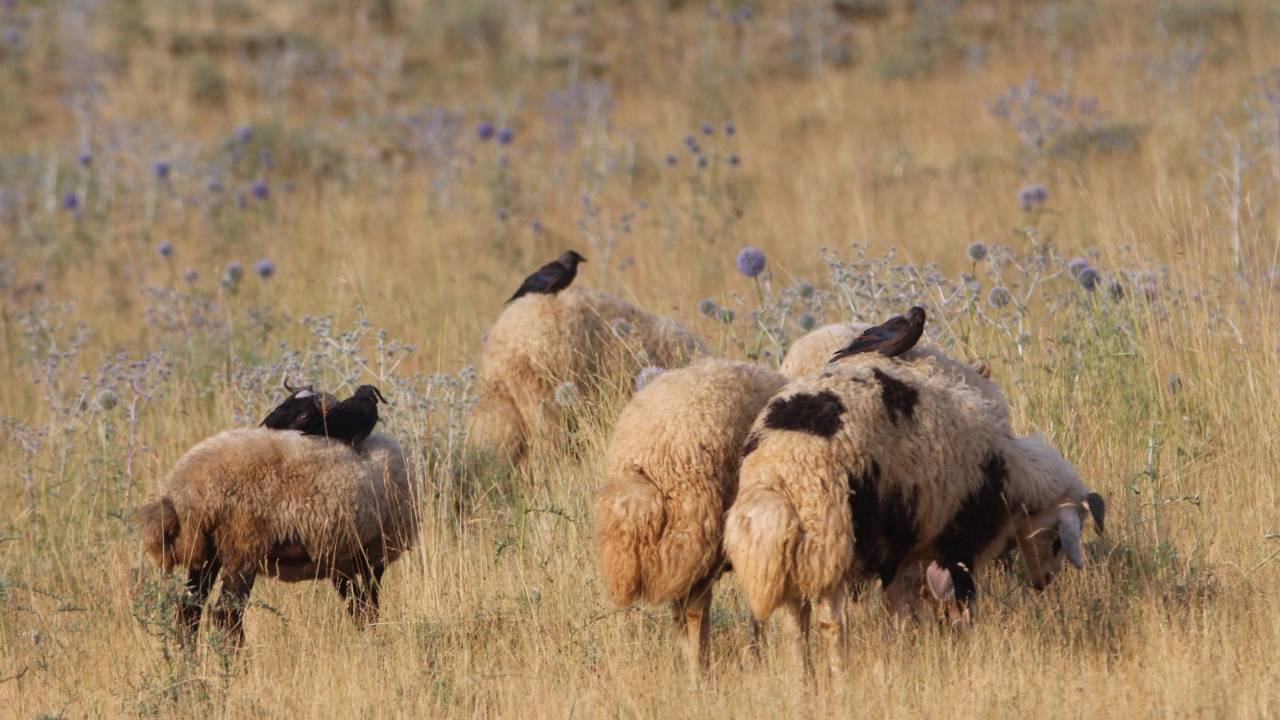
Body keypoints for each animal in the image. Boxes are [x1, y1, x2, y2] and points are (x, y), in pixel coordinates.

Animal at [138, 425, 414, 645]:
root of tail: (181, 490)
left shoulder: (342, 562)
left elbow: (358, 609)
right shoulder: (371, 558)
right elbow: (368, 610)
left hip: (208, 554)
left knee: (189, 611)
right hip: (243, 547)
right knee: (226, 614)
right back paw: (239, 669)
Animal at [727, 361, 1105, 676]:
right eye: (1056, 542)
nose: (1043, 583)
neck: (1011, 475)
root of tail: (779, 469)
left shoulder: (903, 551)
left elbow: (899, 608)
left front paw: (898, 655)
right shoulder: (958, 548)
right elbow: (964, 607)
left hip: (792, 551)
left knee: (794, 625)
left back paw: (804, 684)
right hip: (832, 538)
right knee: (831, 623)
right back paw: (839, 680)